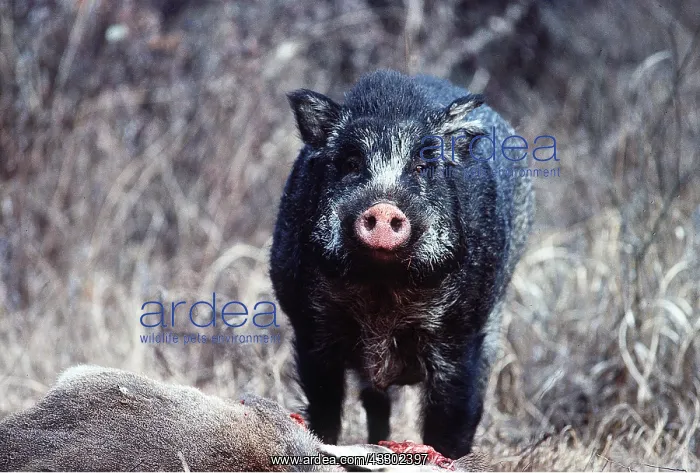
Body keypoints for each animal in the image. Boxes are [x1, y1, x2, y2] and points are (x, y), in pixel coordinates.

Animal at [270, 69, 534, 459]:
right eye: (351, 163)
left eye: (422, 166)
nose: (383, 207)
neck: (383, 285)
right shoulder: (311, 326)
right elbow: (324, 407)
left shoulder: (461, 334)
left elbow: (453, 418)